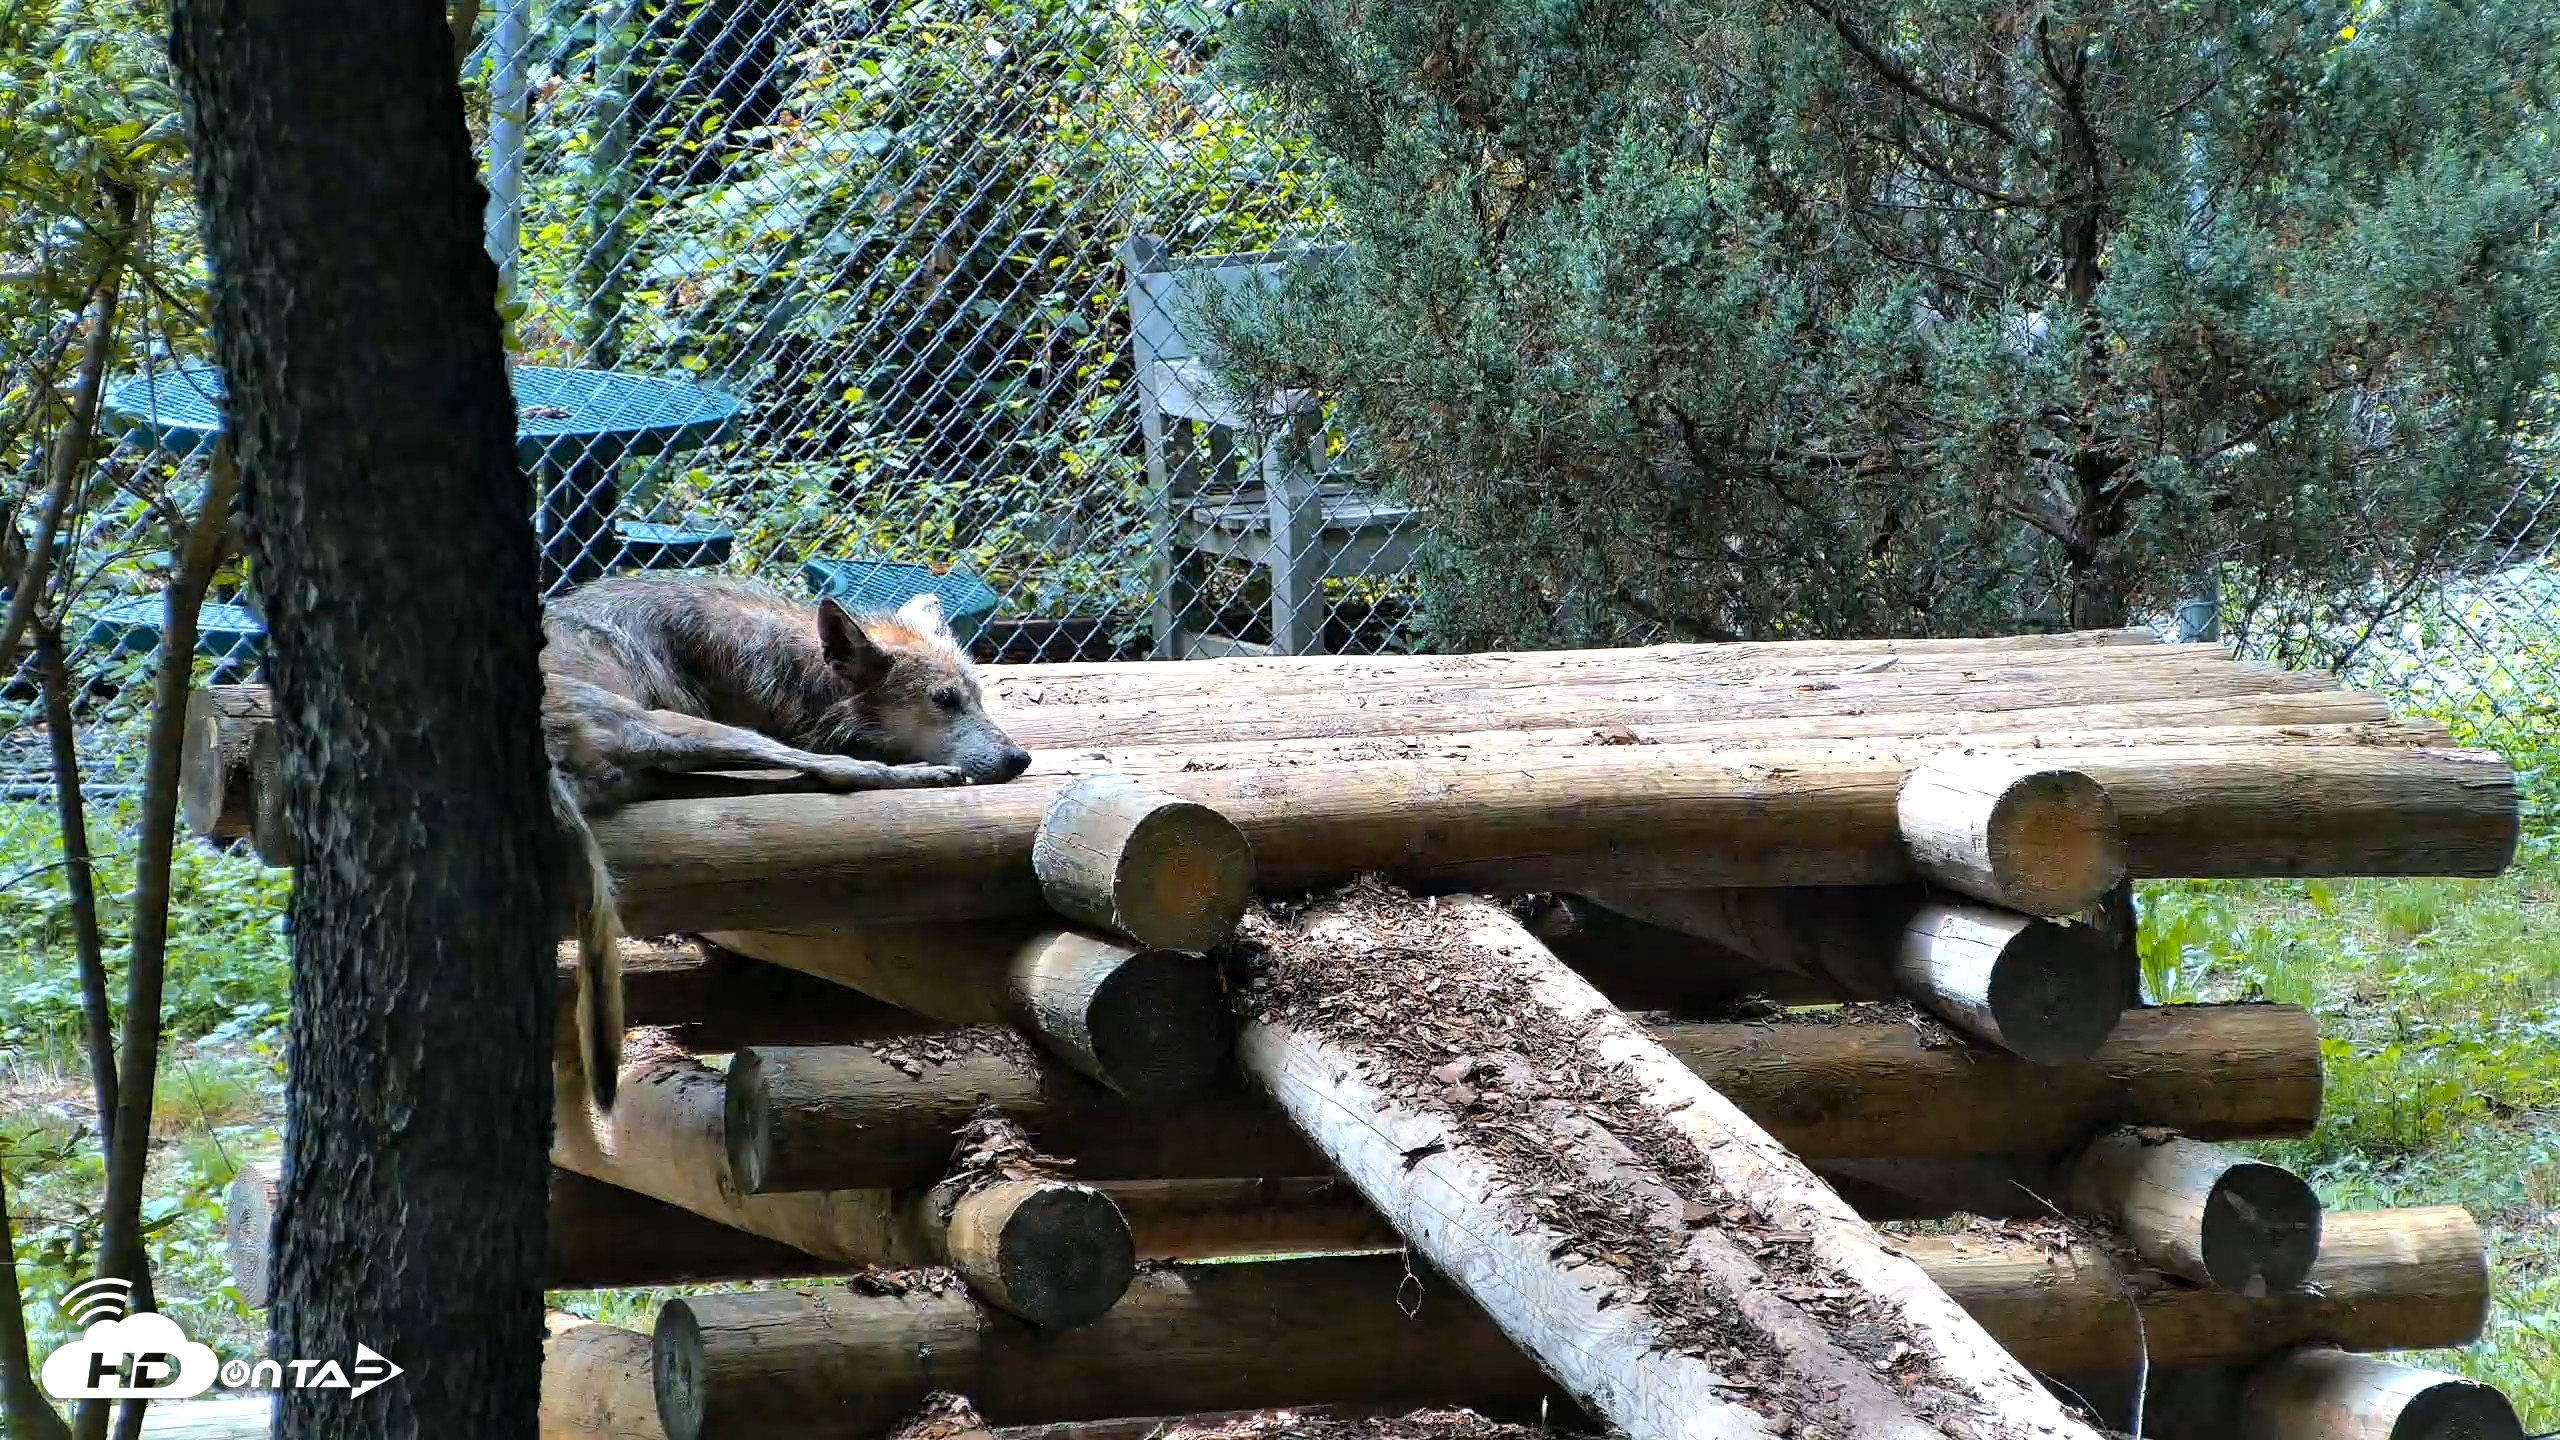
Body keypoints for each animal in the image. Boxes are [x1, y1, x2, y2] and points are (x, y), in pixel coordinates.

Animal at [540, 574, 1032, 1112]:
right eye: (944, 700)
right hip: (677, 729)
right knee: (840, 771)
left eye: (977, 695)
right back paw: (922, 775)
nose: (1020, 758)